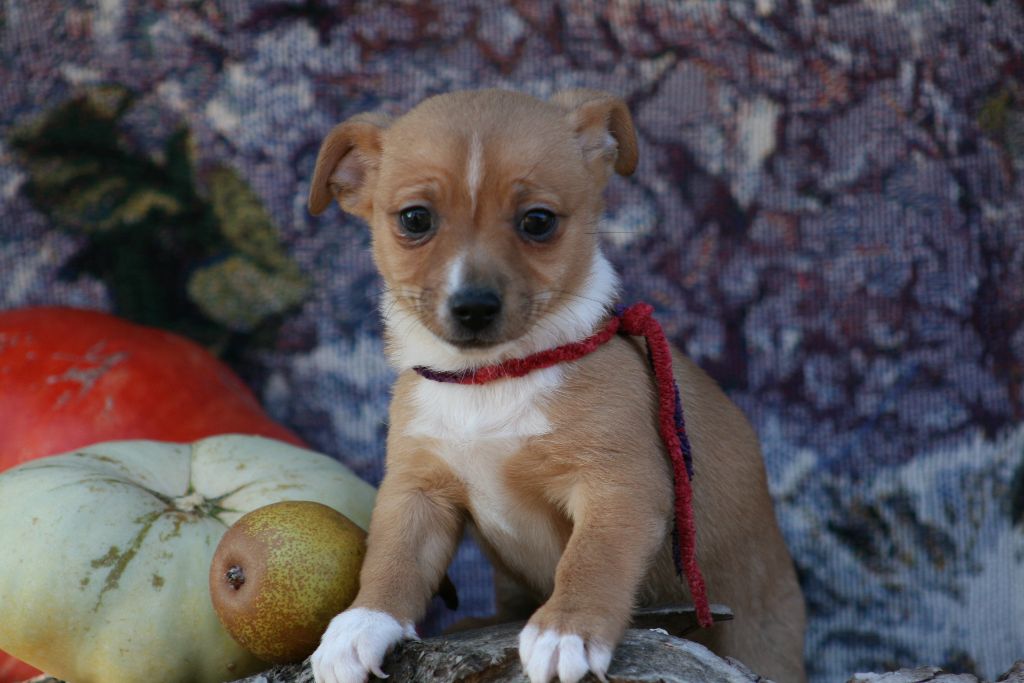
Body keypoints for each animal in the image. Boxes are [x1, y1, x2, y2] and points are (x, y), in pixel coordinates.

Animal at [307, 90, 802, 683]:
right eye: (415, 219)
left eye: (538, 222)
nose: (474, 306)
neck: (493, 377)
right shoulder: (417, 492)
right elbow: (392, 559)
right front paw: (360, 624)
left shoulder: (619, 488)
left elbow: (592, 558)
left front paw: (567, 630)